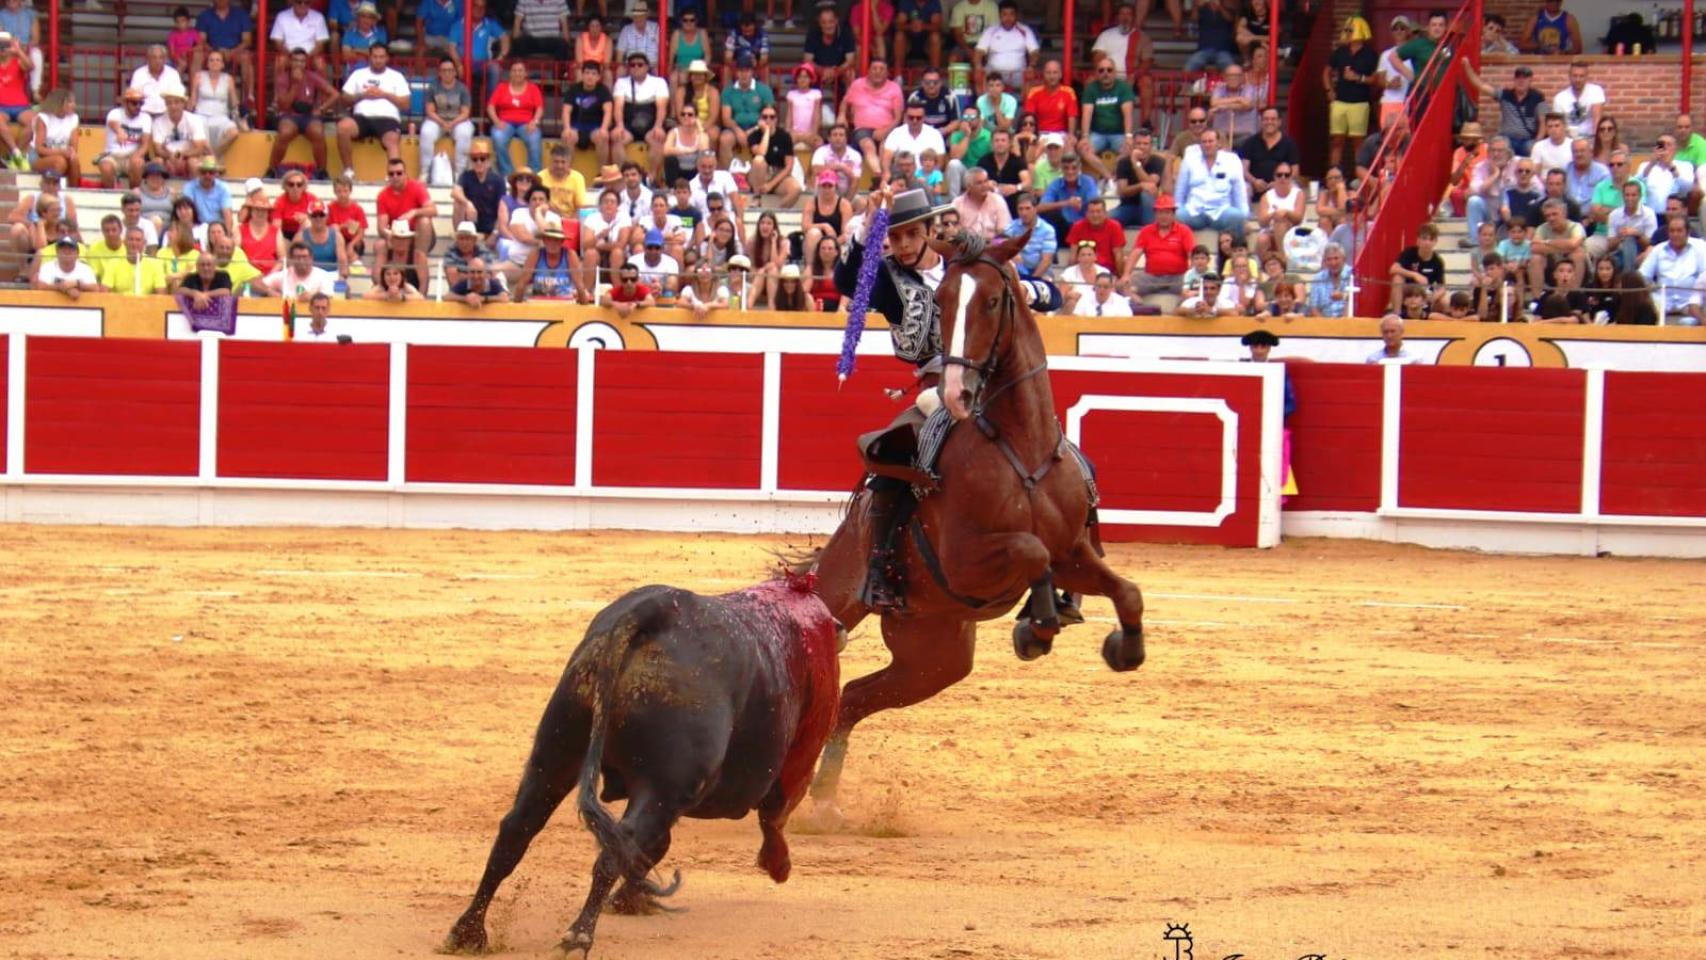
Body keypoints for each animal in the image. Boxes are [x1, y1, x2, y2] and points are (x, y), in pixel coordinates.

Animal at [440, 576, 839, 954]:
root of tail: (653, 610)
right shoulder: (800, 751)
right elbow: (775, 811)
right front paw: (777, 864)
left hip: (555, 752)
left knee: (517, 829)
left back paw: (467, 932)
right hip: (665, 786)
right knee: (621, 844)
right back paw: (578, 938)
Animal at [794, 228, 1146, 815]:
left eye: (994, 300)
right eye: (941, 301)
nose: (957, 392)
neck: (1021, 449)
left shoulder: (1074, 553)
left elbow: (1127, 591)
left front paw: (1122, 647)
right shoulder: (964, 560)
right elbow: (1030, 550)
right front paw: (1037, 627)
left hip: (934, 659)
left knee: (852, 699)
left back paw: (822, 799)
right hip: (845, 597)